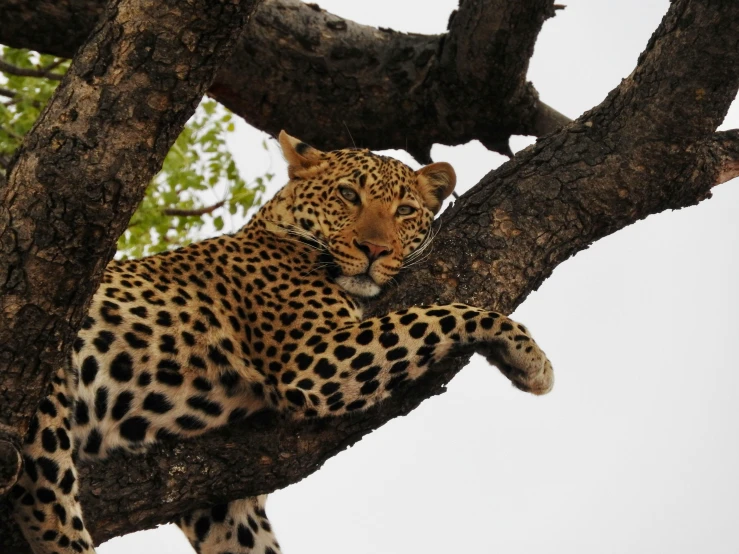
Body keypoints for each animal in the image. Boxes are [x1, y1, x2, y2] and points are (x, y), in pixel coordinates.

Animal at [8, 130, 552, 552]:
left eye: (404, 211)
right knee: (50, 510)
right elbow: (441, 312)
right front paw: (531, 360)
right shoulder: (313, 361)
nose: (374, 250)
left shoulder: (223, 507)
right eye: (348, 195)